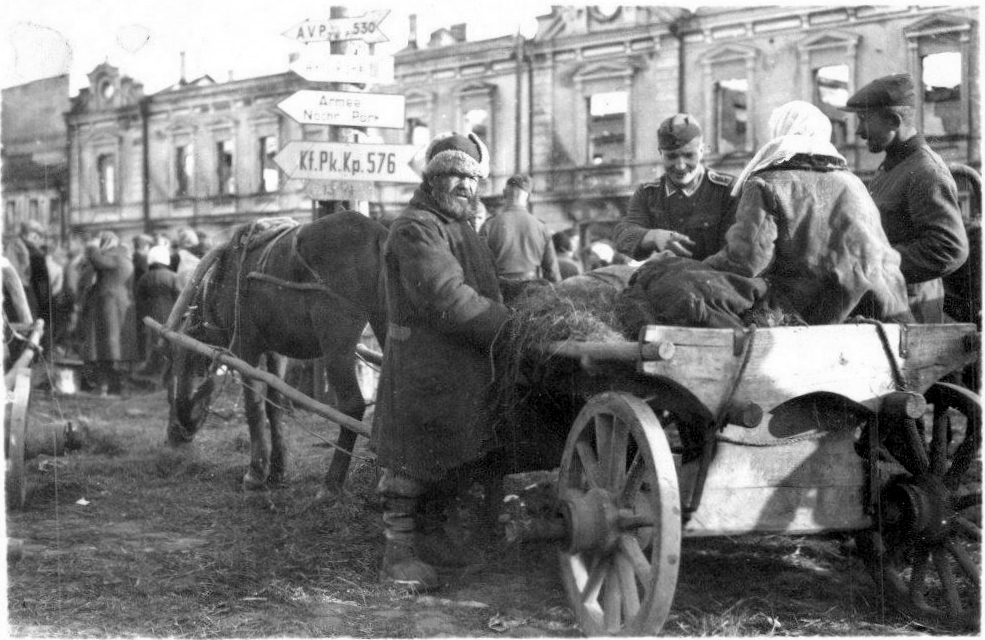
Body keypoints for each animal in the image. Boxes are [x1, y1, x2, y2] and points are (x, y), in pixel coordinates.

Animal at [165, 211, 388, 496]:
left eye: (179, 361)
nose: (174, 435)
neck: (219, 283)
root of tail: (377, 232)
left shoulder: (245, 348)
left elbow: (254, 406)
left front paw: (256, 471)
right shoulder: (275, 352)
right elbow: (275, 405)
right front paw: (277, 468)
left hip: (336, 343)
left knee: (353, 406)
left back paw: (331, 483)